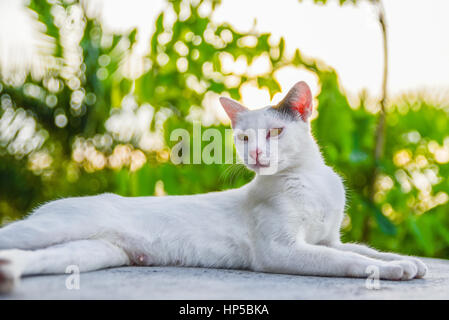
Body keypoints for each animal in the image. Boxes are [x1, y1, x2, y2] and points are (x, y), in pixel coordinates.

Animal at [0, 81, 428, 294]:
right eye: (243, 137)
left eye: (274, 132)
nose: (255, 153)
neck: (310, 180)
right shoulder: (282, 250)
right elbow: (350, 260)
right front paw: (391, 270)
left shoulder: (328, 239)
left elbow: (363, 249)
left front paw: (407, 261)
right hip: (48, 230)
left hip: (93, 252)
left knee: (32, 258)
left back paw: (9, 271)